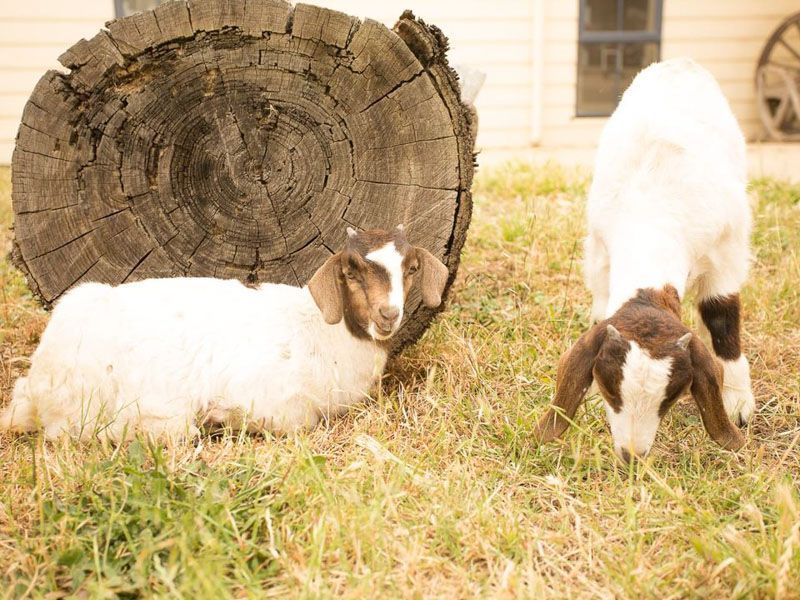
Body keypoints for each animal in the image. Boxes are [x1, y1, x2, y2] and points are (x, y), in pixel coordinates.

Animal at [0, 226, 448, 442]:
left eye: (411, 269)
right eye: (351, 271)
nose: (388, 315)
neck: (327, 335)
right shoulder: (280, 403)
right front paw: (226, 417)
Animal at [535, 58, 754, 461]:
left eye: (672, 397)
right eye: (609, 390)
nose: (632, 455)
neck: (651, 216)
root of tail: (679, 62)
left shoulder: (727, 252)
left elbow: (721, 316)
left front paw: (737, 402)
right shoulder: (600, 252)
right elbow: (600, 307)